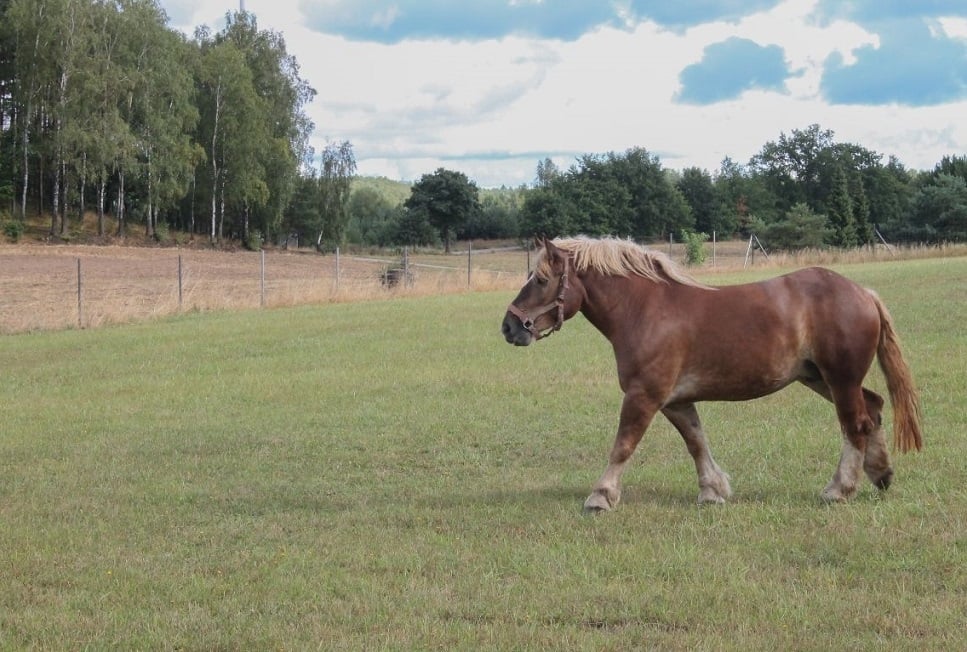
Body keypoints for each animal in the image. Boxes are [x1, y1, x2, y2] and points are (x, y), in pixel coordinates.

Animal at [501, 236, 923, 512]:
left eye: (541, 280)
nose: (509, 326)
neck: (646, 309)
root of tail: (864, 293)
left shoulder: (644, 395)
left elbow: (623, 445)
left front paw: (601, 496)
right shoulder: (675, 400)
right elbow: (697, 442)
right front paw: (712, 490)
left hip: (840, 379)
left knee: (855, 426)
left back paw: (839, 489)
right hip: (820, 378)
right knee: (874, 409)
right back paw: (881, 473)